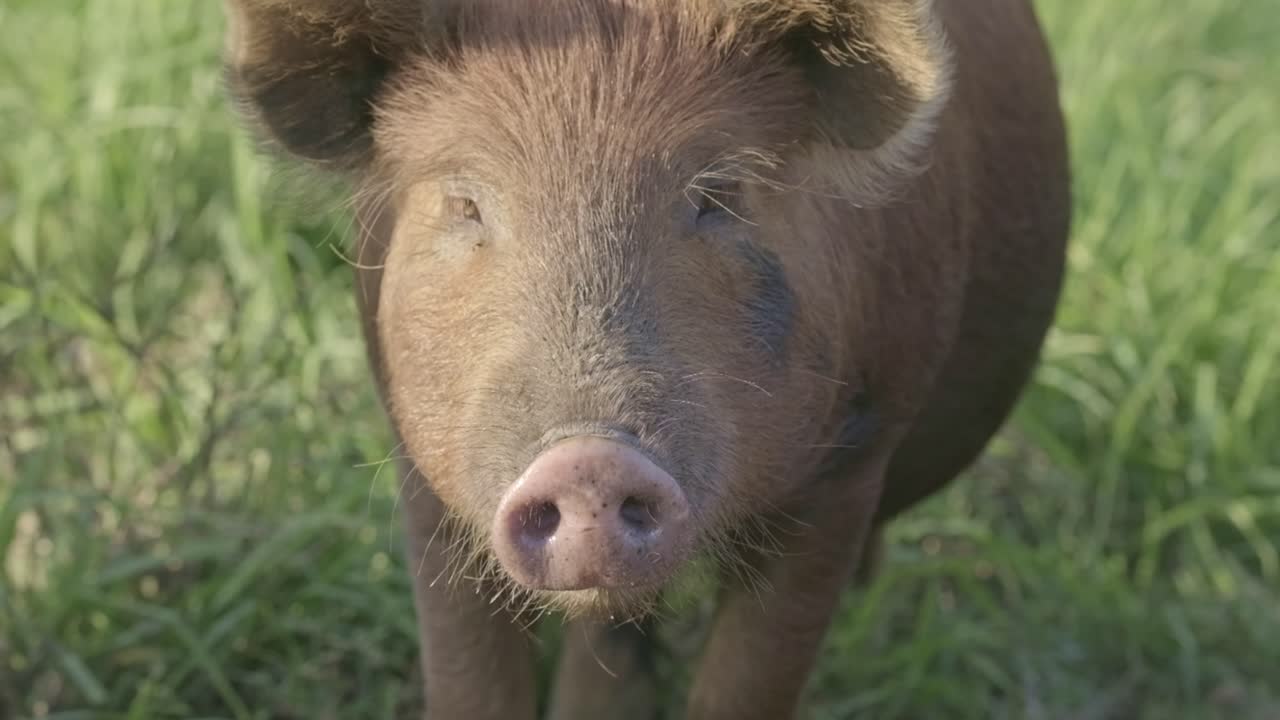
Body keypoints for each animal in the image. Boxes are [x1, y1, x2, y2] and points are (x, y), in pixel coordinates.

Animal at [222, 0, 1071, 718]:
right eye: (464, 204)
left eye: (718, 196)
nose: (588, 461)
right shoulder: (421, 469)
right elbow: (470, 680)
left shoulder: (851, 460)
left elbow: (748, 686)